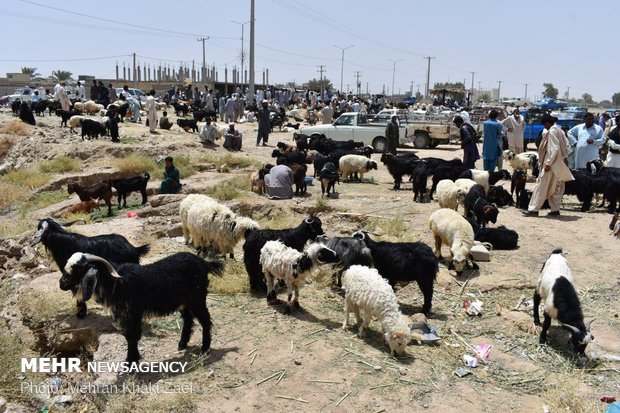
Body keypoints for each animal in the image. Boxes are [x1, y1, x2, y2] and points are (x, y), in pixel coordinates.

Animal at [60, 251, 224, 360]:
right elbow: (129, 336)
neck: (117, 282)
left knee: (205, 320)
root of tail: (204, 263)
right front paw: (133, 359)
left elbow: (132, 336)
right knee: (188, 319)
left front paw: (131, 361)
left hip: (197, 298)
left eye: (79, 268)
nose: (61, 283)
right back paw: (182, 344)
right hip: (185, 301)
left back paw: (204, 348)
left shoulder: (133, 313)